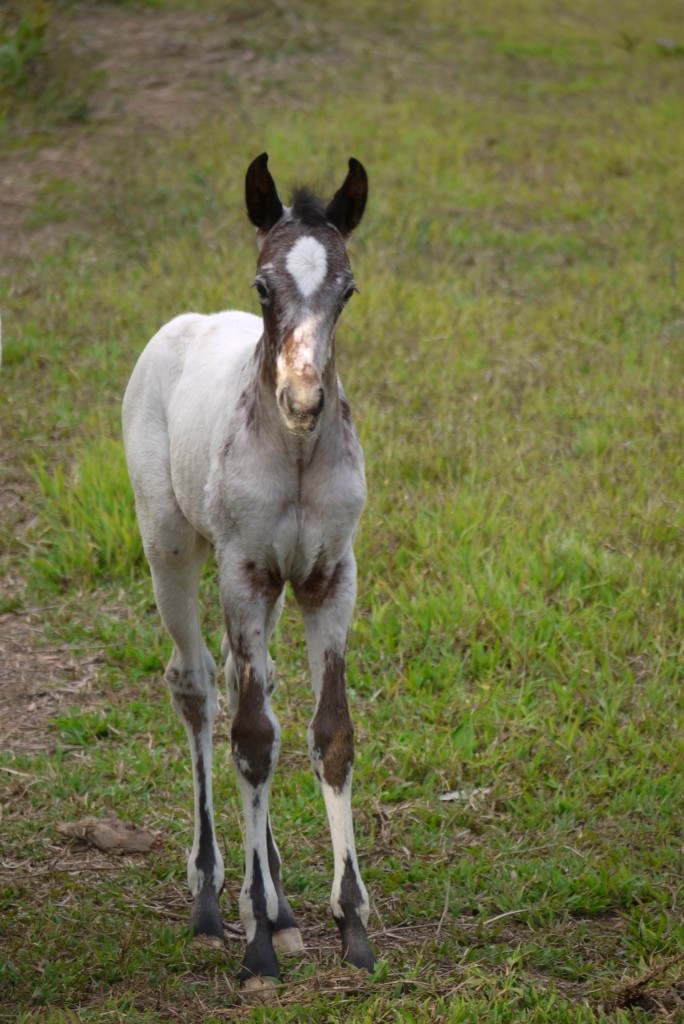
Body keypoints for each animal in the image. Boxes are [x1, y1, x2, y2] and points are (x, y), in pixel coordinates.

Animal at [122, 153, 374, 991]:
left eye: (347, 289)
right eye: (264, 286)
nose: (303, 399)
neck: (292, 455)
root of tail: (181, 325)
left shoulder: (328, 576)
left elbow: (328, 733)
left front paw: (350, 926)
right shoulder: (244, 570)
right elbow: (252, 741)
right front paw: (257, 946)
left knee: (242, 687)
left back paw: (283, 906)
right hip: (170, 546)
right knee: (200, 688)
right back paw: (212, 901)